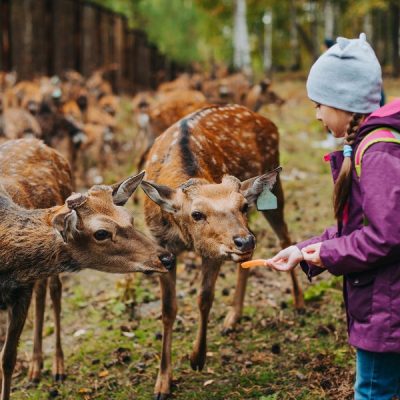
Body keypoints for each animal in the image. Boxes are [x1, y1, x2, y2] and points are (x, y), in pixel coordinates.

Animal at [0, 138, 175, 400]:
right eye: (101, 233)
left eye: (130, 218)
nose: (166, 258)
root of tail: (37, 141)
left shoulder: (21, 290)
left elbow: (7, 359)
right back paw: (36, 369)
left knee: (53, 291)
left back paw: (54, 367)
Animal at [141, 104, 304, 400]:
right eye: (196, 214)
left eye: (242, 205)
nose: (243, 241)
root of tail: (263, 118)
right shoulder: (163, 247)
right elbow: (168, 309)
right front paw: (162, 383)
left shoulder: (213, 251)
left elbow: (204, 298)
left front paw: (197, 357)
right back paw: (233, 317)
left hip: (274, 190)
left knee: (284, 237)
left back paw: (299, 302)